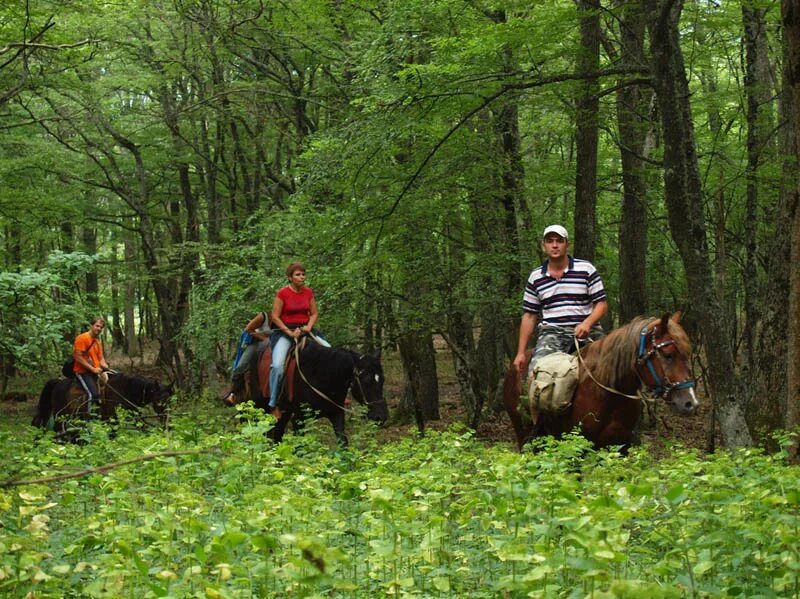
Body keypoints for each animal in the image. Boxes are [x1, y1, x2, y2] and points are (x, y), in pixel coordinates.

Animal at [506, 314, 700, 450]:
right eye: (668, 355)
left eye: (688, 354)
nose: (690, 403)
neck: (608, 395)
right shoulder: (576, 447)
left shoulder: (619, 448)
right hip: (524, 435)